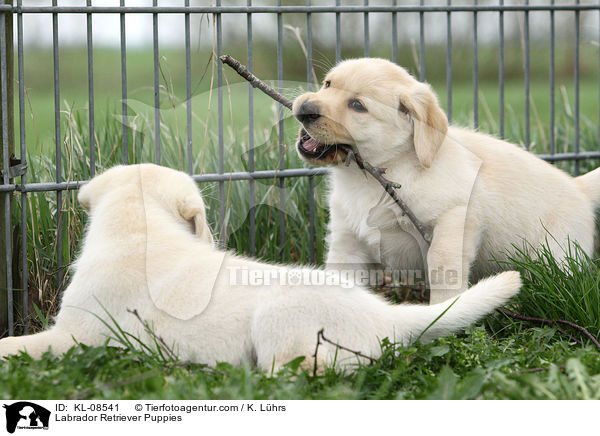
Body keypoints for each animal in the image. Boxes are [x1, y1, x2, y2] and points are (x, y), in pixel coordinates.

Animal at [292, 57, 600, 304]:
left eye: (357, 105)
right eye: (327, 84)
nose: (305, 108)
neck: (376, 174)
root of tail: (579, 187)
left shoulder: (455, 219)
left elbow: (441, 266)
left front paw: (443, 313)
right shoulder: (348, 242)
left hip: (556, 255)